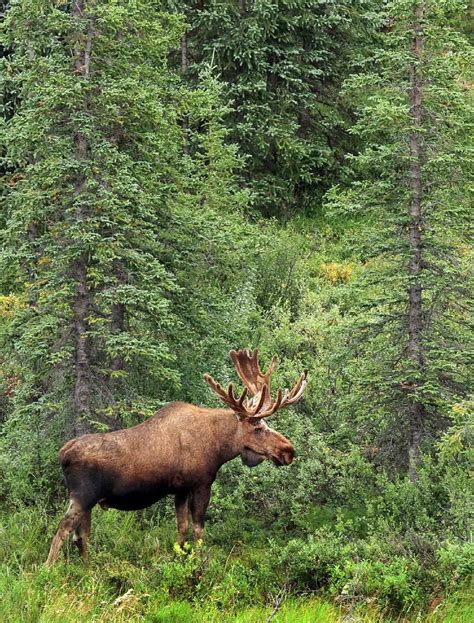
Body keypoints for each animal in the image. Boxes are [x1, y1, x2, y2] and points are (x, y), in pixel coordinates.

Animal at [47, 348, 308, 568]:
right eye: (258, 428)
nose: (288, 451)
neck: (219, 446)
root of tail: (63, 455)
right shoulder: (201, 483)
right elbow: (198, 529)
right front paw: (201, 563)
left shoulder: (180, 490)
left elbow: (181, 528)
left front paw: (178, 557)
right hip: (82, 496)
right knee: (62, 530)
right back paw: (48, 572)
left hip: (88, 502)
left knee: (81, 536)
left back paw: (89, 569)